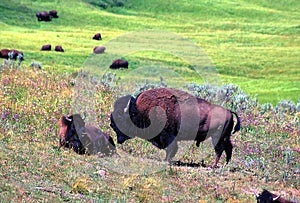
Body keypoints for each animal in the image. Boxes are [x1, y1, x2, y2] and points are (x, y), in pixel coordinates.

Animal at [110, 87, 241, 167]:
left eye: (120, 118)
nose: (118, 139)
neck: (140, 111)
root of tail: (229, 111)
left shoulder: (167, 135)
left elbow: (171, 148)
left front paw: (167, 161)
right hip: (225, 137)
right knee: (228, 147)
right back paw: (226, 164)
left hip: (217, 137)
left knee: (220, 149)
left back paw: (213, 166)